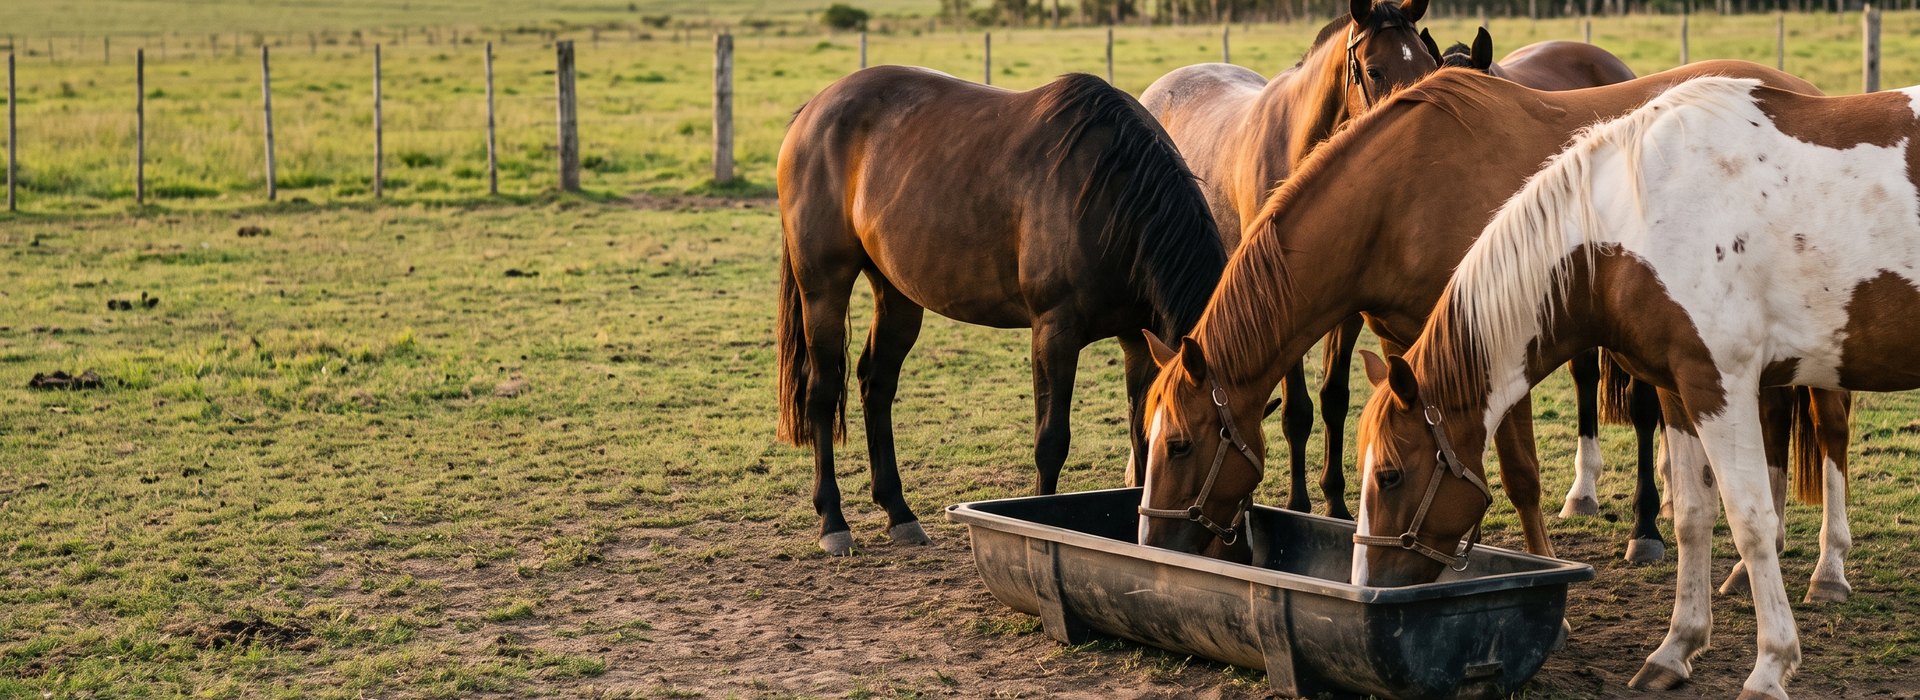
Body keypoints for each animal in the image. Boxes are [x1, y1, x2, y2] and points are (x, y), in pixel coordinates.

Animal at [776, 67, 1227, 555]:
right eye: (1185, 445)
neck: (1113, 195)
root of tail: (814, 109)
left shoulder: (1140, 340)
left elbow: (1140, 436)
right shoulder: (1055, 331)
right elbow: (1051, 441)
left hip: (896, 293)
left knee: (875, 383)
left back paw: (900, 514)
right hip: (823, 288)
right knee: (821, 392)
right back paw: (833, 522)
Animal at [1130, 62, 1820, 563]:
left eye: (1180, 444)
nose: (1154, 543)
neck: (1398, 196)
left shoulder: (1497, 346)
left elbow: (1519, 475)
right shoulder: (1410, 352)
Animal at [1139, 0, 1436, 520]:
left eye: (1424, 61)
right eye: (1374, 71)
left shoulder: (1344, 304)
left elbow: (1334, 398)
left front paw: (1336, 501)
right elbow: (1297, 410)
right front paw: (1299, 501)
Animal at [1349, 76, 1914, 699]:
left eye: (1389, 474)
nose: (1366, 589)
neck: (1629, 228)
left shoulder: (1719, 383)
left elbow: (1750, 523)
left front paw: (1769, 667)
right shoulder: (1679, 389)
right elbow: (1692, 516)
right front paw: (1676, 649)